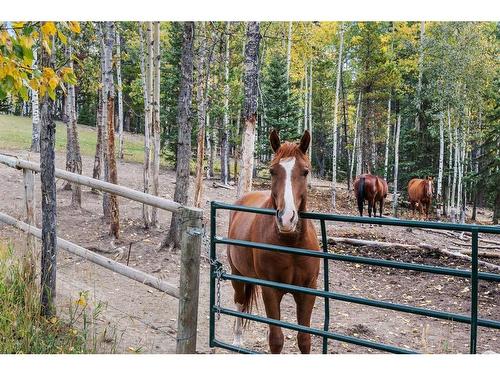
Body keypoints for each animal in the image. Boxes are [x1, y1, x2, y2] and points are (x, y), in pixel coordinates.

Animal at [228, 130, 320, 356]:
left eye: (305, 172)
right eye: (272, 171)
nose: (286, 219)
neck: (291, 243)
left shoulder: (308, 290)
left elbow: (304, 340)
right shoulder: (270, 290)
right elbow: (276, 340)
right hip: (237, 274)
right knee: (239, 303)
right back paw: (237, 340)